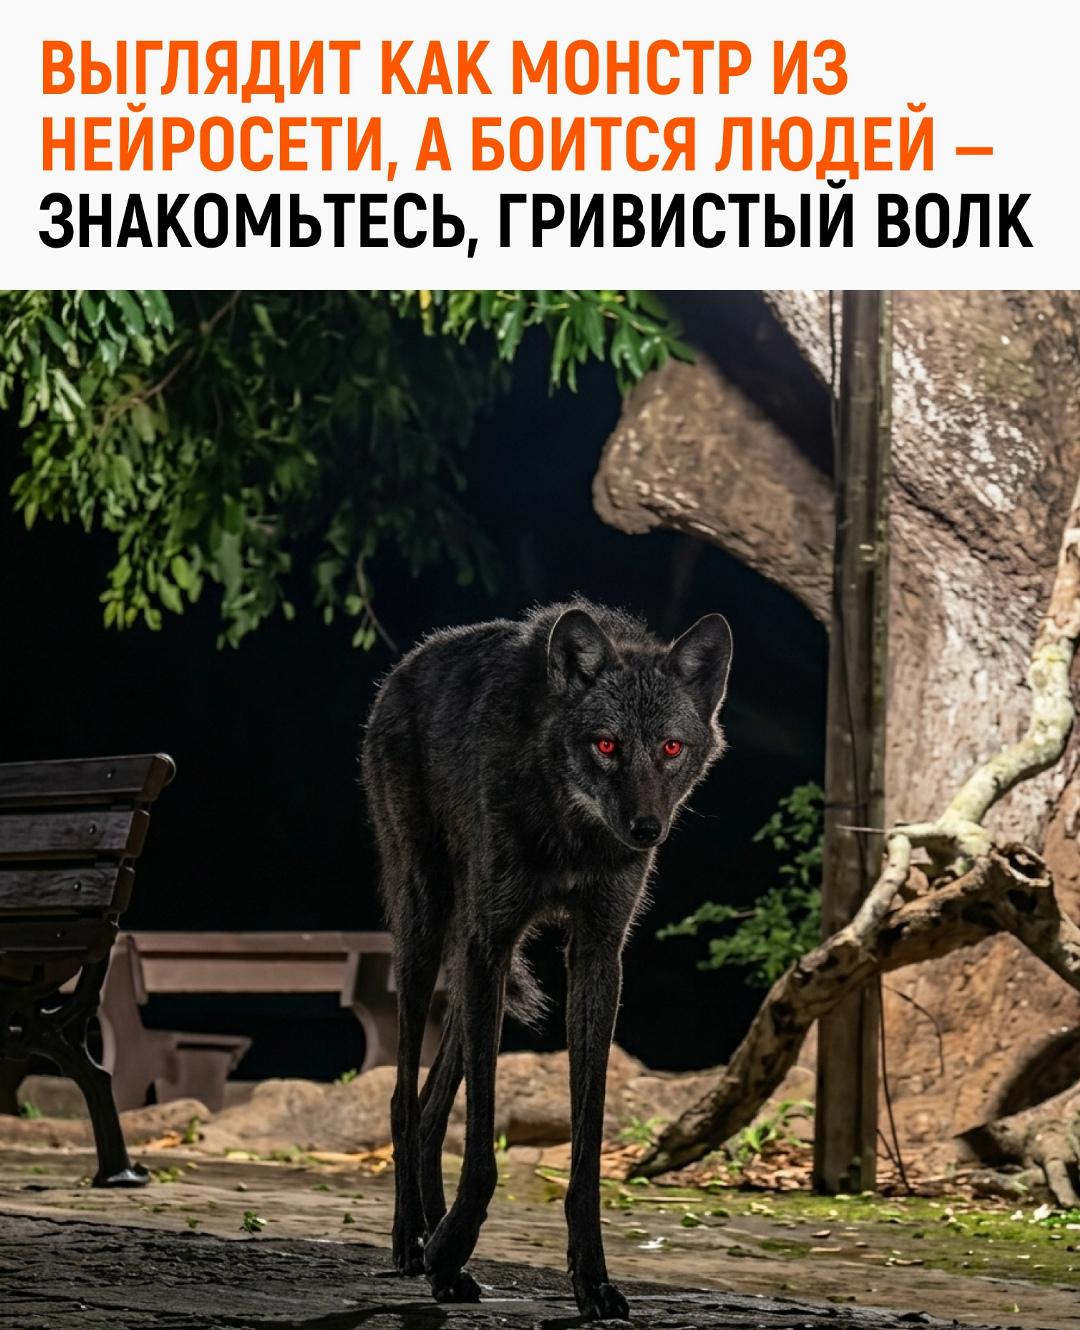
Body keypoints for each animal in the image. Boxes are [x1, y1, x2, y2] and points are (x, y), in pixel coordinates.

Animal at [362, 599, 732, 1321]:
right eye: (607, 745)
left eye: (671, 747)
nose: (646, 829)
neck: (572, 831)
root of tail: (405, 666)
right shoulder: (492, 937)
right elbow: (481, 1148)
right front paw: (449, 1248)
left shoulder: (596, 955)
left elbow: (585, 1153)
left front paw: (591, 1281)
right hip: (427, 931)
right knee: (402, 1099)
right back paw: (414, 1241)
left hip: (476, 970)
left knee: (431, 1109)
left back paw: (438, 1246)